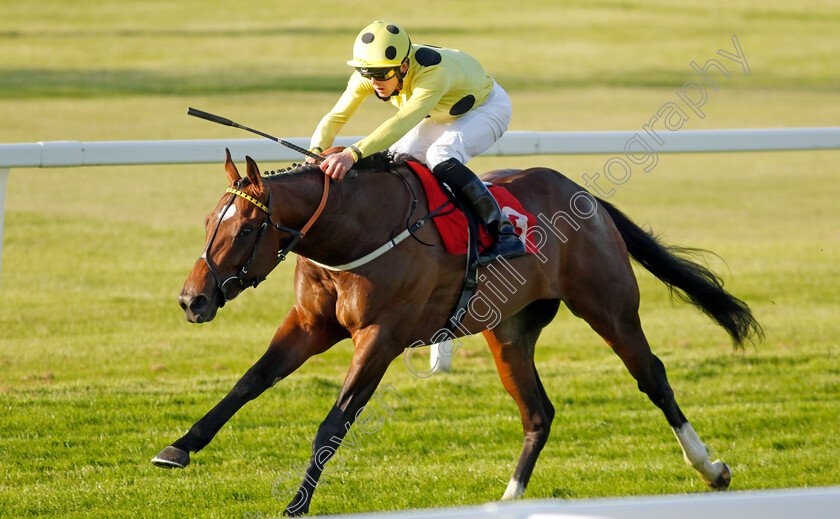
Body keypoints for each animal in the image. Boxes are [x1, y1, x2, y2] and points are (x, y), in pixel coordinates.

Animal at [149, 149, 760, 516]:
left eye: (244, 228)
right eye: (209, 222)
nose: (191, 300)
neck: (353, 232)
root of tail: (583, 193)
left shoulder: (382, 336)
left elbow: (334, 422)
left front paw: (296, 504)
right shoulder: (309, 324)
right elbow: (249, 383)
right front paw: (178, 448)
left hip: (609, 307)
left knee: (653, 378)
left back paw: (711, 468)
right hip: (509, 332)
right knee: (537, 412)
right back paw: (509, 497)